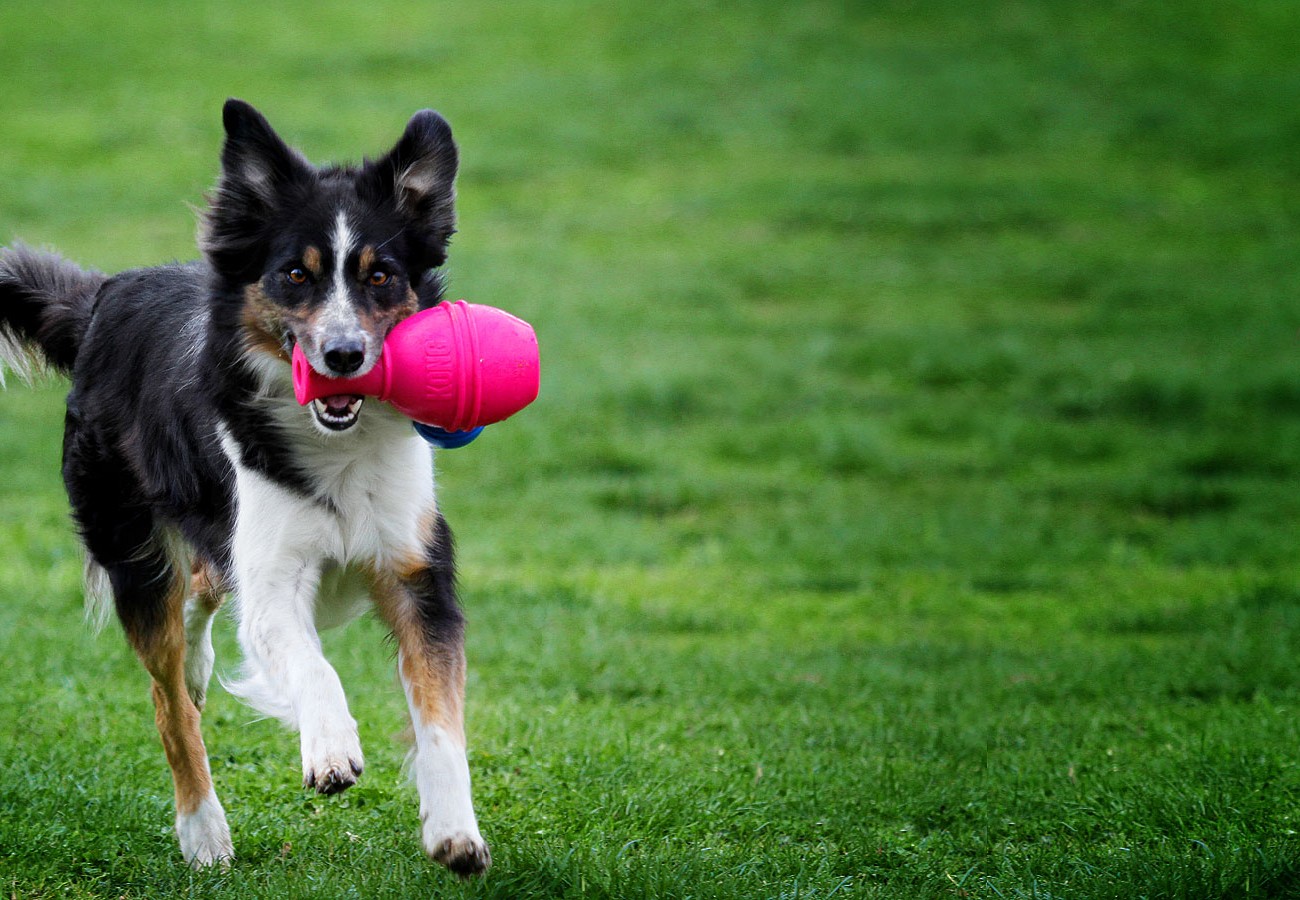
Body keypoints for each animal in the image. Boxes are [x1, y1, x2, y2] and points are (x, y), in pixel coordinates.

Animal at [0, 100, 491, 879]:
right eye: (295, 274)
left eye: (381, 277)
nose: (344, 356)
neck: (335, 444)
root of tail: (103, 297)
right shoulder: (272, 574)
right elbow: (310, 665)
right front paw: (330, 746)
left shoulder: (416, 570)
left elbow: (441, 719)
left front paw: (455, 832)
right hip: (131, 548)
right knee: (170, 700)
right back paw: (203, 830)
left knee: (203, 586)